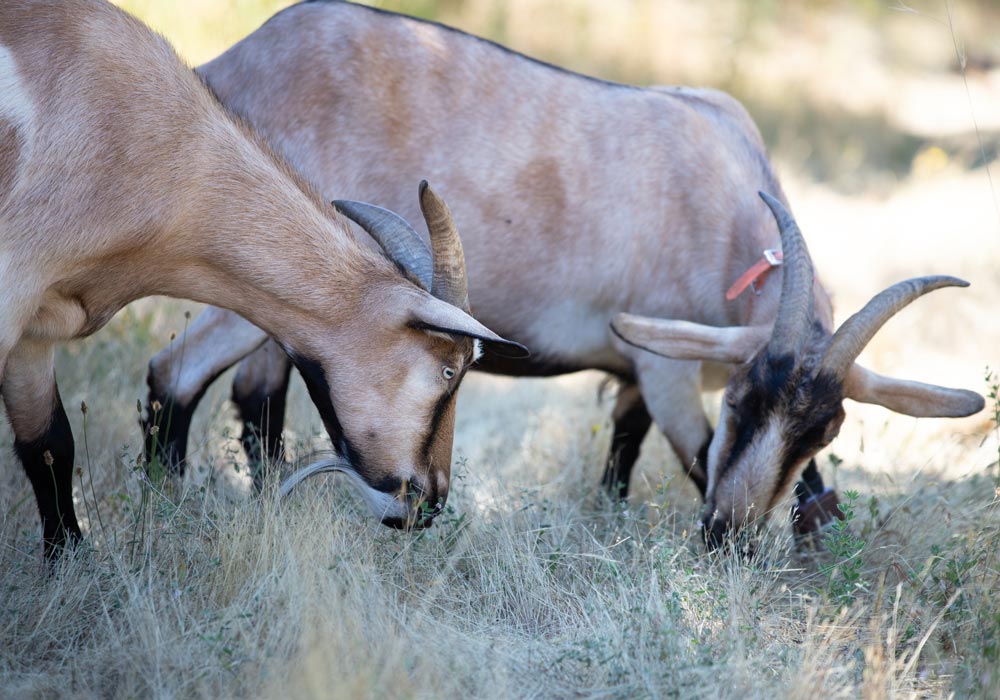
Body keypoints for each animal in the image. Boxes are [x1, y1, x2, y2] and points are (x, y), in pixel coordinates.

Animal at [141, 1, 984, 540]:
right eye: (742, 402)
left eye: (825, 427)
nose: (727, 534)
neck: (724, 190)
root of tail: (229, 64)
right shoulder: (666, 364)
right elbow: (693, 453)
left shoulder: (641, 372)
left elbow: (626, 450)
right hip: (267, 275)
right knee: (176, 373)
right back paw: (164, 512)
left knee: (257, 395)